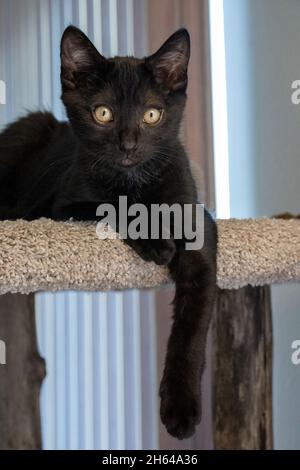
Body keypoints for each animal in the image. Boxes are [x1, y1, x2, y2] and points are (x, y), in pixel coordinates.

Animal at [0, 26, 217, 440]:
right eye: (103, 113)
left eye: (152, 115)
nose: (128, 145)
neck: (137, 182)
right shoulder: (65, 205)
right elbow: (116, 206)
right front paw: (156, 242)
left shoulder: (199, 224)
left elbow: (194, 321)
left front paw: (181, 406)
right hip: (31, 127)